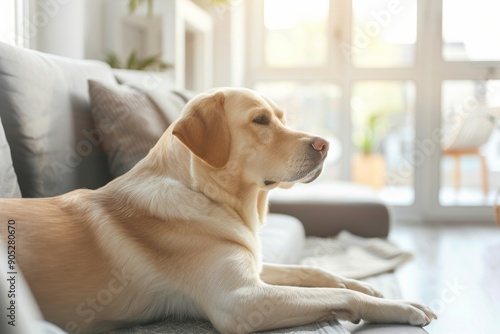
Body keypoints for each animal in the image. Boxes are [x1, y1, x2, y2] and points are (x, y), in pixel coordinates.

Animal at [0, 87, 436, 332]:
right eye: (260, 120)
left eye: (281, 117)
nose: (325, 145)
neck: (210, 196)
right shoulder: (242, 299)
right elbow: (332, 295)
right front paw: (399, 306)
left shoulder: (253, 267)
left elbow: (317, 273)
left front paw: (365, 284)